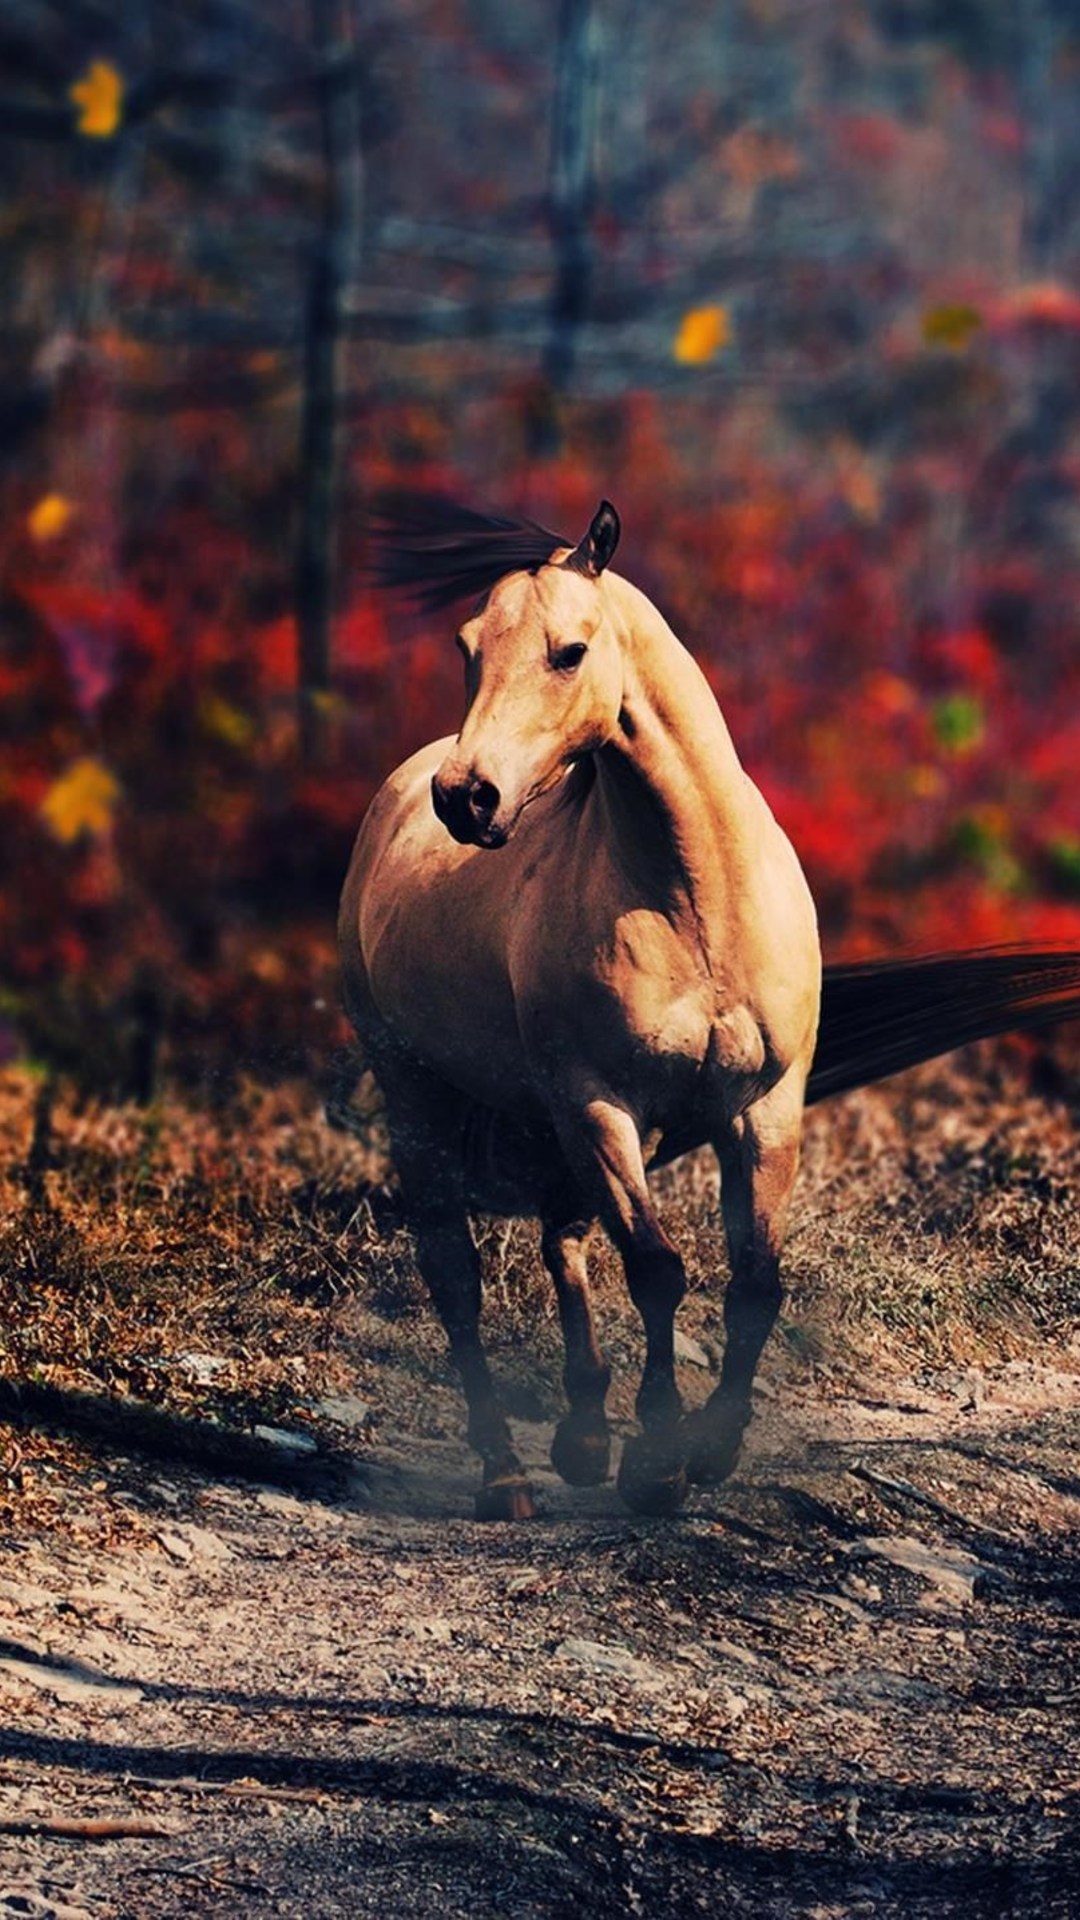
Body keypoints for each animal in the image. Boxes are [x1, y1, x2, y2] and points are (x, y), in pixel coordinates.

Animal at [339, 496, 1080, 1521]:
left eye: (569, 651)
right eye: (467, 648)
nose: (467, 797)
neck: (696, 897)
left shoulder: (761, 1105)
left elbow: (755, 1279)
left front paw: (712, 1447)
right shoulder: (601, 1101)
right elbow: (658, 1269)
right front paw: (658, 1460)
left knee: (563, 1238)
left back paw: (581, 1438)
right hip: (425, 1093)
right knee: (457, 1273)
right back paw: (508, 1475)